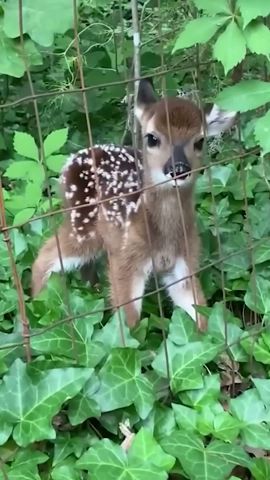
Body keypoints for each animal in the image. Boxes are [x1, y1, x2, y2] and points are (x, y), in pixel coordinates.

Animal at [31, 80, 234, 332]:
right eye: (152, 138)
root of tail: (71, 159)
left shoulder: (185, 262)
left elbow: (201, 312)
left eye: (200, 141)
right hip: (83, 225)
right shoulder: (125, 261)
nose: (178, 169)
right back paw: (40, 309)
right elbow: (129, 323)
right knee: (45, 256)